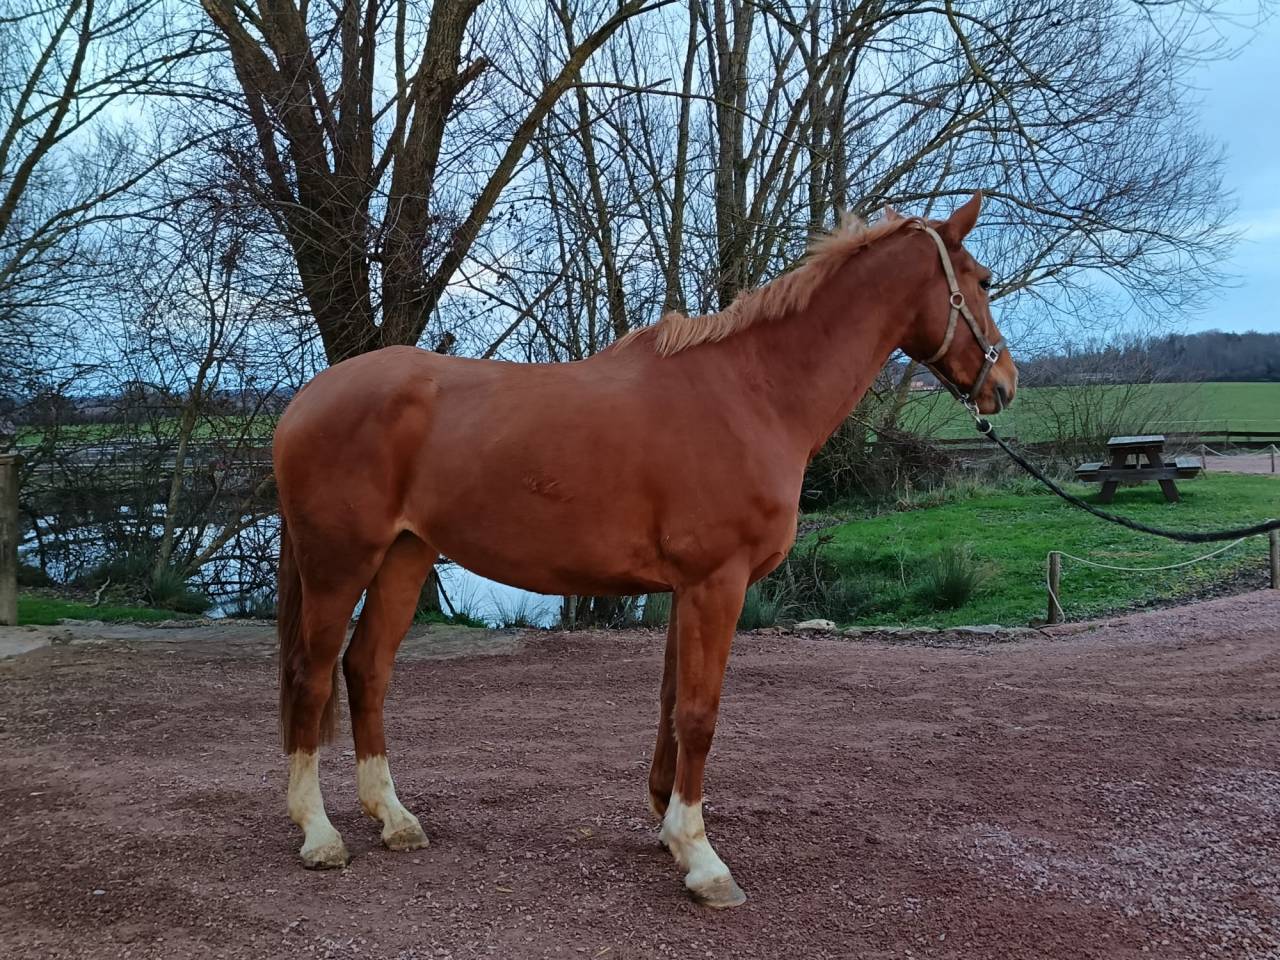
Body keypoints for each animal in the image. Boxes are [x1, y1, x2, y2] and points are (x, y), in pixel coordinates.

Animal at [271, 191, 1017, 908]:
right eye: (983, 280)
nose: (1004, 384)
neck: (754, 393)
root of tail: (303, 399)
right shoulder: (719, 582)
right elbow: (700, 713)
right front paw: (704, 861)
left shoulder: (688, 588)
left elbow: (671, 704)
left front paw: (669, 826)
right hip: (339, 563)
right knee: (313, 676)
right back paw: (320, 833)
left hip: (405, 556)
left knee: (367, 669)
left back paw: (394, 818)